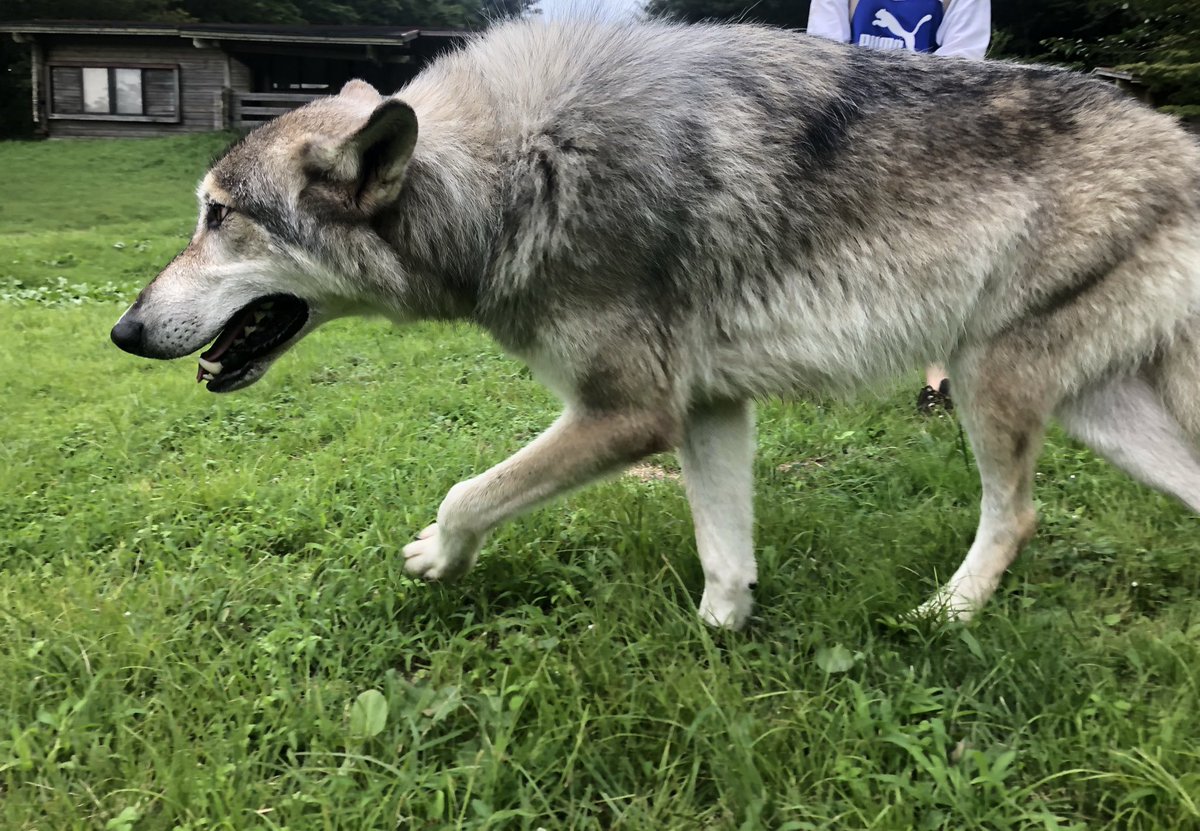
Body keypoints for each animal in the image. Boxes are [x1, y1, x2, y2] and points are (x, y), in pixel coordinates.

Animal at [110, 19, 1200, 624]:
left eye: (220, 217)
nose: (122, 333)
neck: (515, 174)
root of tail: (1177, 142)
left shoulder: (628, 414)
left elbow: (469, 493)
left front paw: (435, 557)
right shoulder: (708, 411)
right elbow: (725, 560)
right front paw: (725, 644)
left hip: (986, 384)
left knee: (1014, 514)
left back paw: (947, 614)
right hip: (1091, 413)